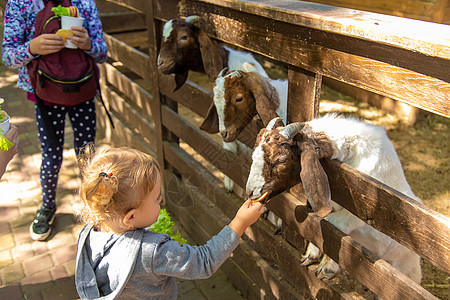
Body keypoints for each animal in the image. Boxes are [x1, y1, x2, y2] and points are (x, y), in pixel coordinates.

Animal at [246, 113, 422, 284]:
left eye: (281, 160)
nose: (250, 192)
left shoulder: (365, 212)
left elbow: (332, 224)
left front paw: (326, 266)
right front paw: (312, 254)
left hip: (406, 266)